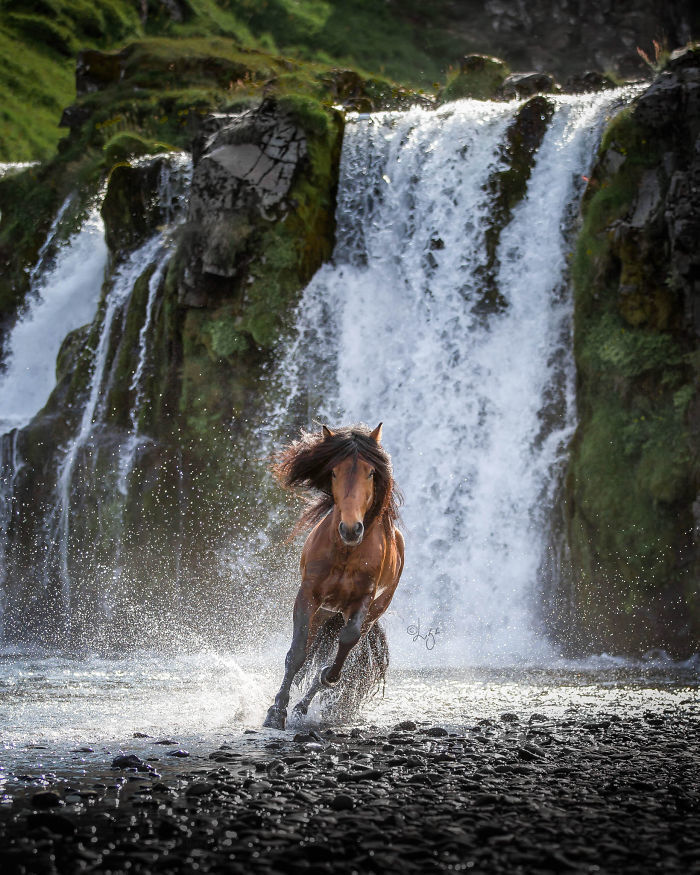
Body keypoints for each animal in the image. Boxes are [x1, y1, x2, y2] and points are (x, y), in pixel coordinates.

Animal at [262, 424, 404, 732]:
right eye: (334, 471)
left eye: (370, 472)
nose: (351, 529)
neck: (345, 552)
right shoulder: (308, 596)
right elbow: (297, 654)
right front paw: (276, 713)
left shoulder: (362, 602)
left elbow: (344, 648)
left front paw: (326, 678)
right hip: (324, 613)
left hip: (367, 614)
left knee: (344, 654)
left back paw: (305, 705)